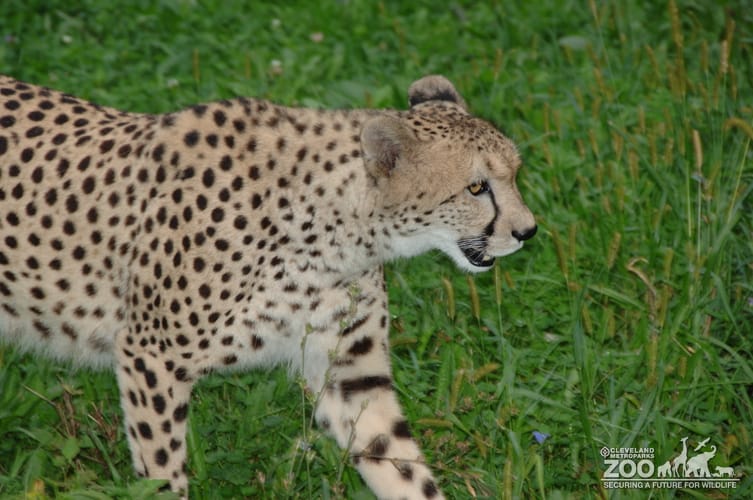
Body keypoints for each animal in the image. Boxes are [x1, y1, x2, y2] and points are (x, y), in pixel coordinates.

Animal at [0, 74, 536, 499]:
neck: (335, 230)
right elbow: (162, 473)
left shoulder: (349, 371)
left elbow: (399, 464)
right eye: (476, 188)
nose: (528, 231)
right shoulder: (150, 356)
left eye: (513, 174)